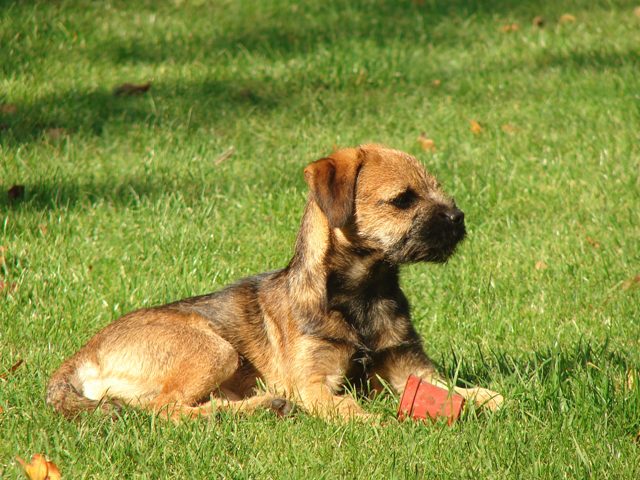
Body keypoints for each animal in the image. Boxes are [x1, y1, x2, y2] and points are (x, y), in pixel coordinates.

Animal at [47, 145, 502, 420]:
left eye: (438, 190)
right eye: (403, 199)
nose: (458, 218)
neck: (363, 295)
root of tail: (82, 354)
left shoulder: (411, 367)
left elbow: (460, 388)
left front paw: (491, 400)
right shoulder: (314, 385)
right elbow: (349, 408)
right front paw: (382, 422)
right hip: (215, 349)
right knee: (168, 410)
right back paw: (249, 409)